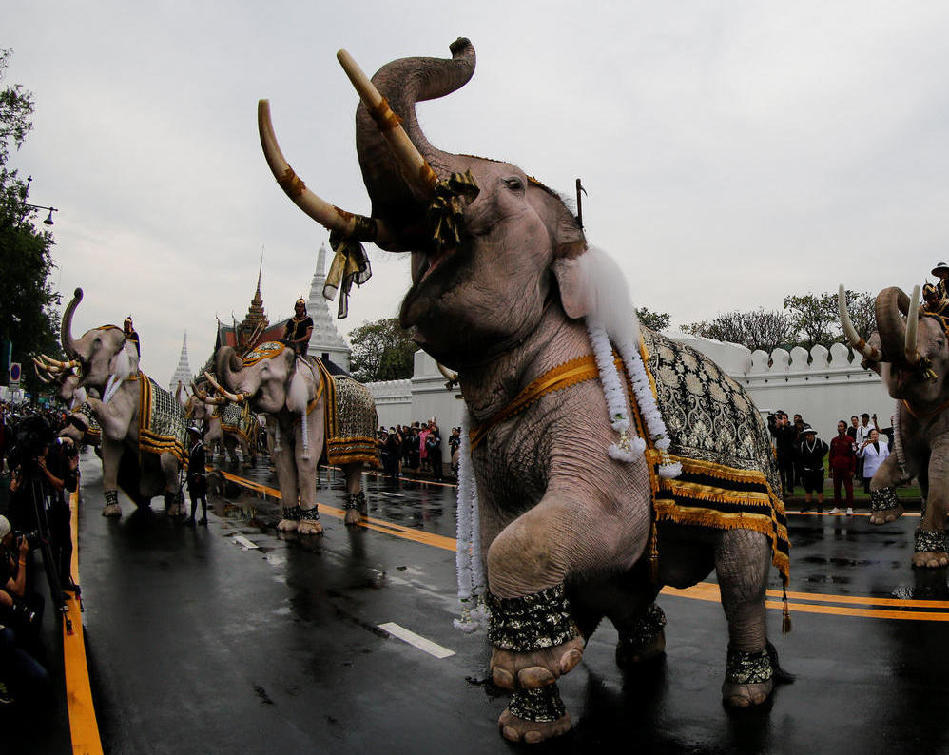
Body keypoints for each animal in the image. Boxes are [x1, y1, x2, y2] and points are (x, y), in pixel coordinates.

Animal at [36, 290, 187, 520]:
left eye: (97, 341)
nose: (78, 292)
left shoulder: (129, 398)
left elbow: (116, 428)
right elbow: (111, 453)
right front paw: (111, 510)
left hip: (176, 442)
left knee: (169, 462)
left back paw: (176, 509)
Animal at [211, 340, 378, 536]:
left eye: (265, 369)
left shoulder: (315, 406)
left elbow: (305, 457)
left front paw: (309, 529)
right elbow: (283, 460)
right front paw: (286, 525)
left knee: (353, 467)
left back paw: (352, 518)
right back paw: (361, 508)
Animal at [260, 39, 792, 744]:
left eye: (511, 184)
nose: (460, 43)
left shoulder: (602, 420)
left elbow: (588, 524)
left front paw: (523, 673)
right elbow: (498, 536)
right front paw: (528, 716)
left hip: (752, 487)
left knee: (740, 573)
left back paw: (749, 692)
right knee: (629, 580)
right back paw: (635, 652)